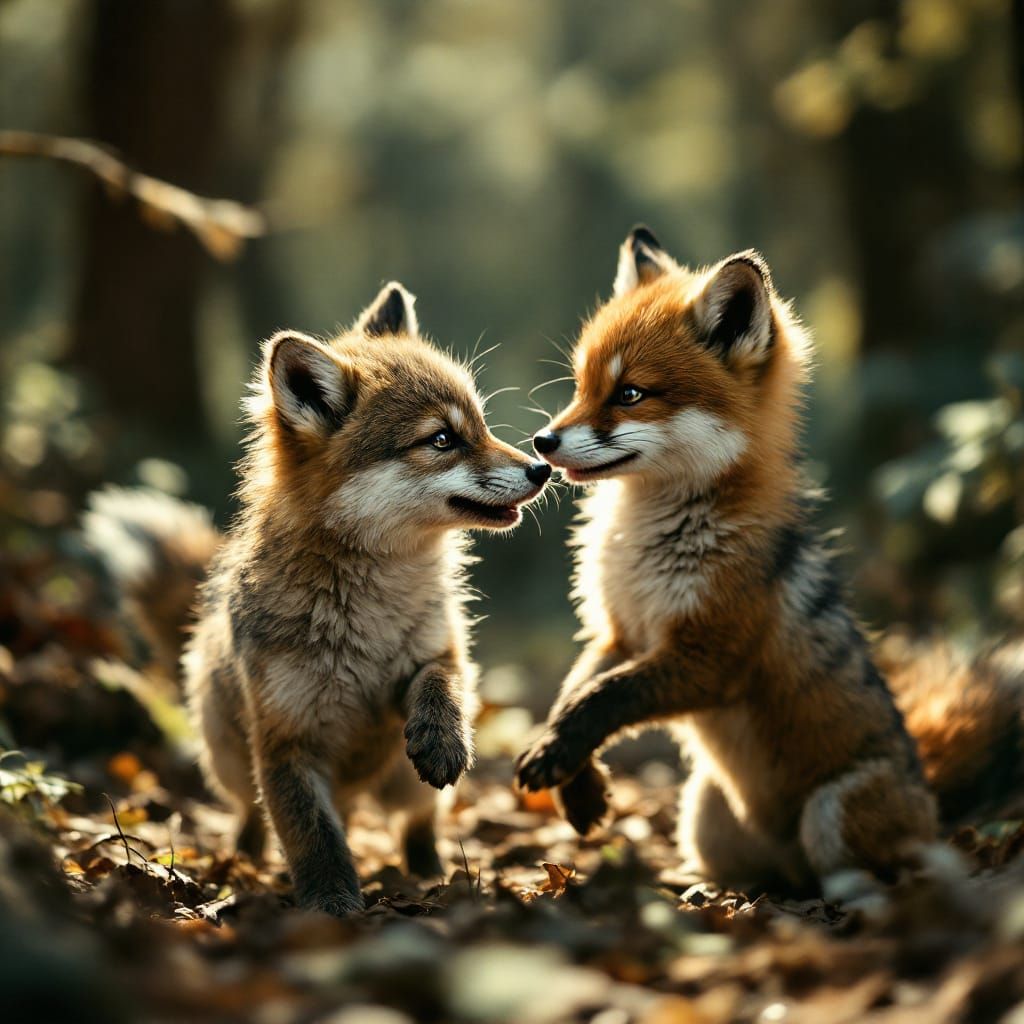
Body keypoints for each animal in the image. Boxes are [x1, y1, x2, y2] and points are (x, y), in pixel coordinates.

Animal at [86, 281, 551, 915]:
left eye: (480, 426)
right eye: (442, 439)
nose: (543, 466)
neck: (366, 617)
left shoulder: (439, 651)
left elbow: (440, 680)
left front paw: (442, 736)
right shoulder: (285, 742)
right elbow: (315, 838)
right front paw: (331, 907)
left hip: (402, 786)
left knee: (417, 823)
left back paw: (429, 874)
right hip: (231, 762)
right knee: (253, 815)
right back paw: (243, 861)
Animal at [515, 226, 1024, 892]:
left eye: (629, 394)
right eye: (580, 387)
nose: (541, 444)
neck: (648, 547)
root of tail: (933, 801)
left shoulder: (710, 655)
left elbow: (604, 697)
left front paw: (562, 753)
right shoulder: (619, 632)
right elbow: (574, 692)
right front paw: (576, 783)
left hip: (832, 813)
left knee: (860, 877)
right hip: (703, 814)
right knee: (757, 878)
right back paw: (704, 890)